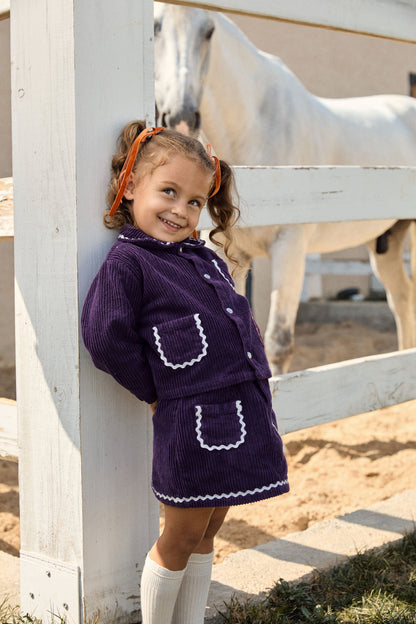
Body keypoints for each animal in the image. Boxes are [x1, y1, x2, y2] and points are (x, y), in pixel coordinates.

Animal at [154, 3, 416, 376]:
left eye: (209, 31)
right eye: (156, 26)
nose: (180, 116)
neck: (256, 128)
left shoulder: (290, 247)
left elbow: (278, 342)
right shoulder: (228, 253)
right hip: (387, 242)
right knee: (401, 299)